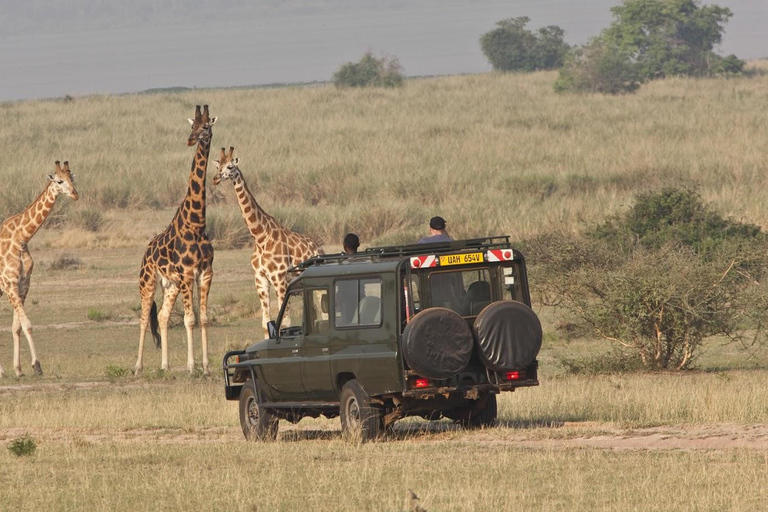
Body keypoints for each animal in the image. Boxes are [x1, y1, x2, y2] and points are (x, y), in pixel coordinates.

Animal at [0, 162, 78, 378]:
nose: (75, 194)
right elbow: (27, 324)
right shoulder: (9, 283)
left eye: (72, 178)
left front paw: (18, 370)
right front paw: (36, 365)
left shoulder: (23, 284)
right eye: (59, 181)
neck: (21, 238)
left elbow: (17, 327)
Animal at [135, 105, 216, 376]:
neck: (197, 224)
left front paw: (205, 366)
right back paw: (138, 366)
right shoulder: (187, 274)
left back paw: (165, 366)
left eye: (206, 126)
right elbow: (189, 319)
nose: (191, 139)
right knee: (144, 317)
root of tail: (145, 253)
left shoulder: (206, 273)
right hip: (148, 282)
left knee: (161, 316)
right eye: (192, 126)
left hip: (170, 285)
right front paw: (192, 367)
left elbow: (203, 318)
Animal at [212, 146, 322, 338]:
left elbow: (285, 322)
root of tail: (319, 248)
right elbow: (265, 323)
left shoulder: (279, 279)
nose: (216, 178)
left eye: (230, 167)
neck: (261, 236)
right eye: (218, 166)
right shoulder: (260, 279)